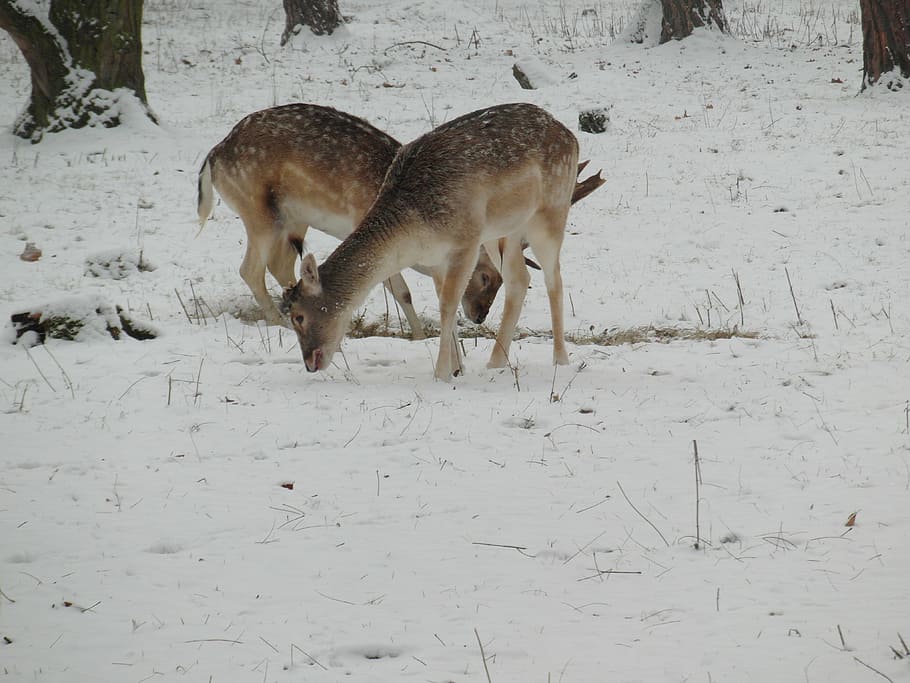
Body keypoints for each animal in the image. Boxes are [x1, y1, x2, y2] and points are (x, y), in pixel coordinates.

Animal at [281, 102, 582, 381]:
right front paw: (457, 368)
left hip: (550, 212)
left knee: (554, 280)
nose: (309, 364)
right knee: (519, 278)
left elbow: (447, 305)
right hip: (503, 230)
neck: (414, 234)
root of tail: (570, 136)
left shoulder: (466, 241)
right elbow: (445, 302)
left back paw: (560, 360)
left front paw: (441, 374)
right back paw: (495, 363)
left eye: (299, 316)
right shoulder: (437, 259)